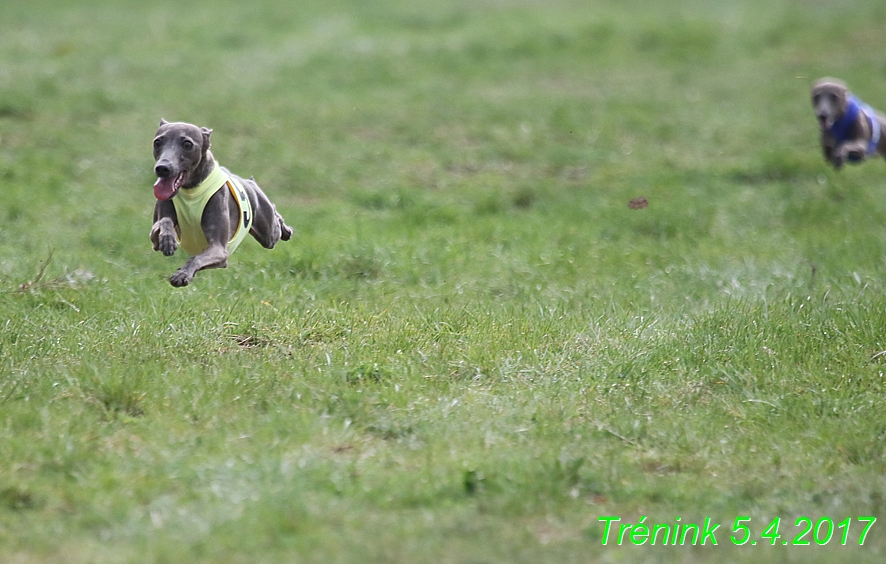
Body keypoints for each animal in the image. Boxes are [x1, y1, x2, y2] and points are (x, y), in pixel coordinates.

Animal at [150, 119, 292, 286]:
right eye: (157, 142)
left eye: (187, 144)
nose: (162, 168)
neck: (191, 191)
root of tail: (247, 181)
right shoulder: (155, 239)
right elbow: (163, 222)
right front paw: (168, 239)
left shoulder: (219, 249)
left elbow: (196, 258)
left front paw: (182, 274)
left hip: (268, 233)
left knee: (275, 223)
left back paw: (286, 230)